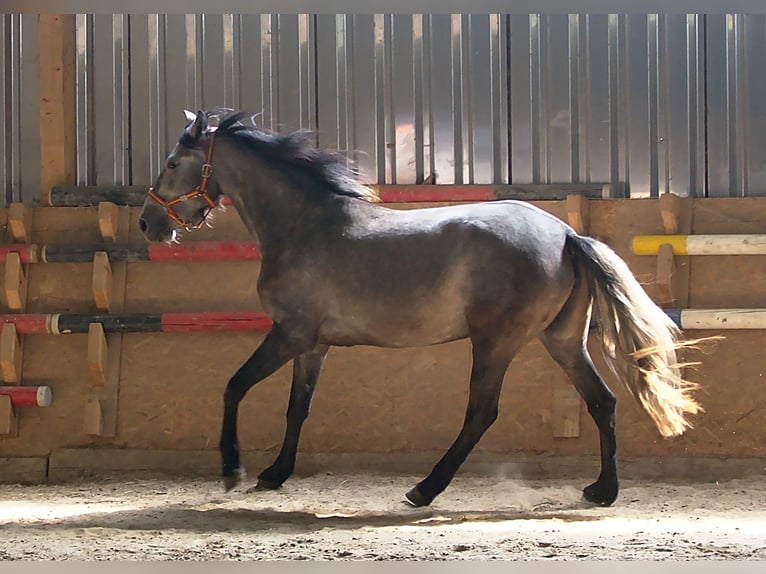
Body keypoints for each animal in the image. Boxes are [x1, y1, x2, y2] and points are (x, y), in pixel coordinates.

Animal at [140, 110, 708, 510]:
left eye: (171, 163)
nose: (149, 223)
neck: (304, 223)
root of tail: (568, 234)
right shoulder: (313, 344)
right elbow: (297, 407)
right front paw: (274, 475)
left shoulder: (289, 333)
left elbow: (234, 386)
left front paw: (233, 470)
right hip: (562, 340)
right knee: (602, 402)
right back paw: (601, 491)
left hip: (496, 342)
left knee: (482, 412)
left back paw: (424, 489)